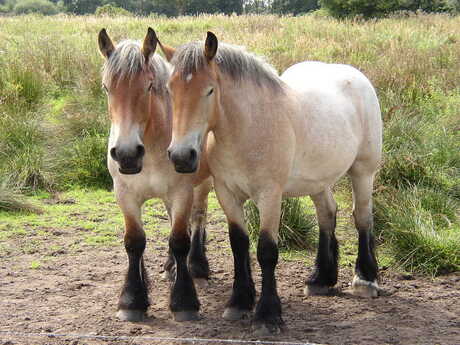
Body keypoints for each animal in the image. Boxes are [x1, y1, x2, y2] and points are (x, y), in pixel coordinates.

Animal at [98, 28, 213, 322]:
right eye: (106, 88)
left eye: (148, 87)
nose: (126, 153)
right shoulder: (125, 195)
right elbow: (134, 241)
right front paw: (132, 300)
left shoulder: (182, 192)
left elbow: (180, 239)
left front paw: (184, 301)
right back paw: (171, 267)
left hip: (202, 186)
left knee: (198, 218)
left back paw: (197, 265)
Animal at [161, 32, 380, 334]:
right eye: (170, 90)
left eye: (209, 90)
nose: (182, 156)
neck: (250, 127)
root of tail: (355, 76)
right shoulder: (227, 193)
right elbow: (238, 244)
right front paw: (239, 302)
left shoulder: (269, 196)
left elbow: (266, 251)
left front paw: (267, 315)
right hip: (318, 181)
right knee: (327, 214)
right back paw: (321, 279)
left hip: (363, 172)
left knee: (362, 218)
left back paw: (366, 280)